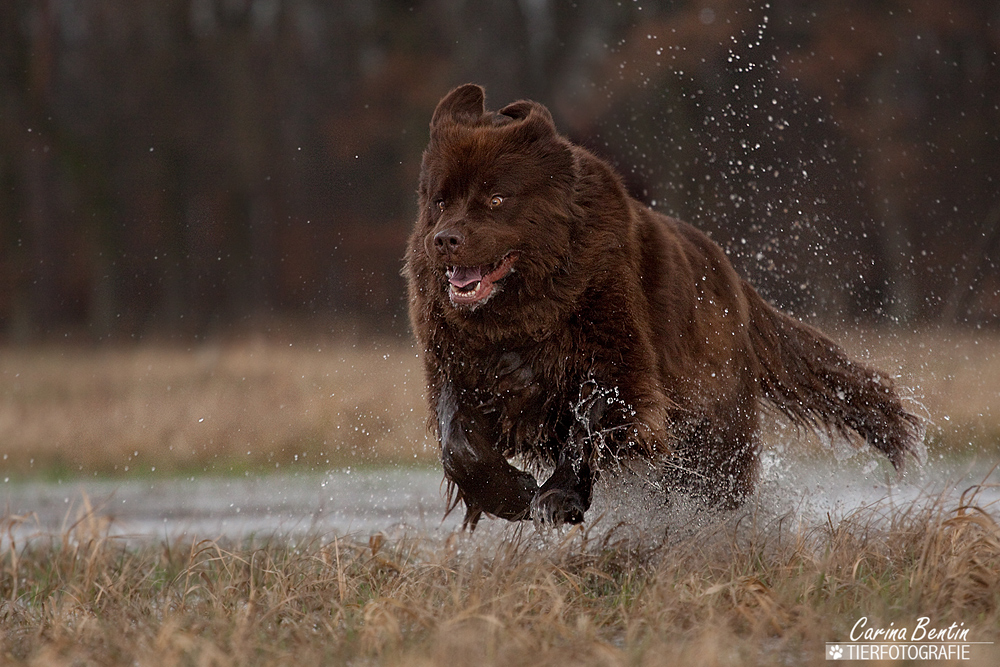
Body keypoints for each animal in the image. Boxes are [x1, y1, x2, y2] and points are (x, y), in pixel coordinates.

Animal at [402, 85, 916, 532]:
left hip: (714, 419)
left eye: (496, 198)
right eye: (440, 200)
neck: (525, 314)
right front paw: (513, 494)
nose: (445, 240)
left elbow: (593, 417)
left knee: (713, 485)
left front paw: (555, 498)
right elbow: (459, 442)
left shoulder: (612, 346)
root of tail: (737, 283)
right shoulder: (460, 360)